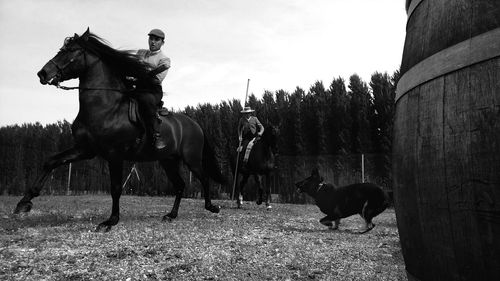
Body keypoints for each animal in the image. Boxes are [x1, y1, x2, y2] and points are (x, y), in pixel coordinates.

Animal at [13, 27, 225, 230]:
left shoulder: (115, 155)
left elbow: (115, 188)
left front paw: (111, 221)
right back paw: (171, 215)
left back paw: (212, 207)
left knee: (204, 178)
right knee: (180, 185)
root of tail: (194, 124)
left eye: (71, 51)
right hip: (168, 160)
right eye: (61, 50)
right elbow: (51, 161)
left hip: (191, 159)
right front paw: (24, 203)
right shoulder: (85, 150)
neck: (105, 107)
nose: (42, 74)